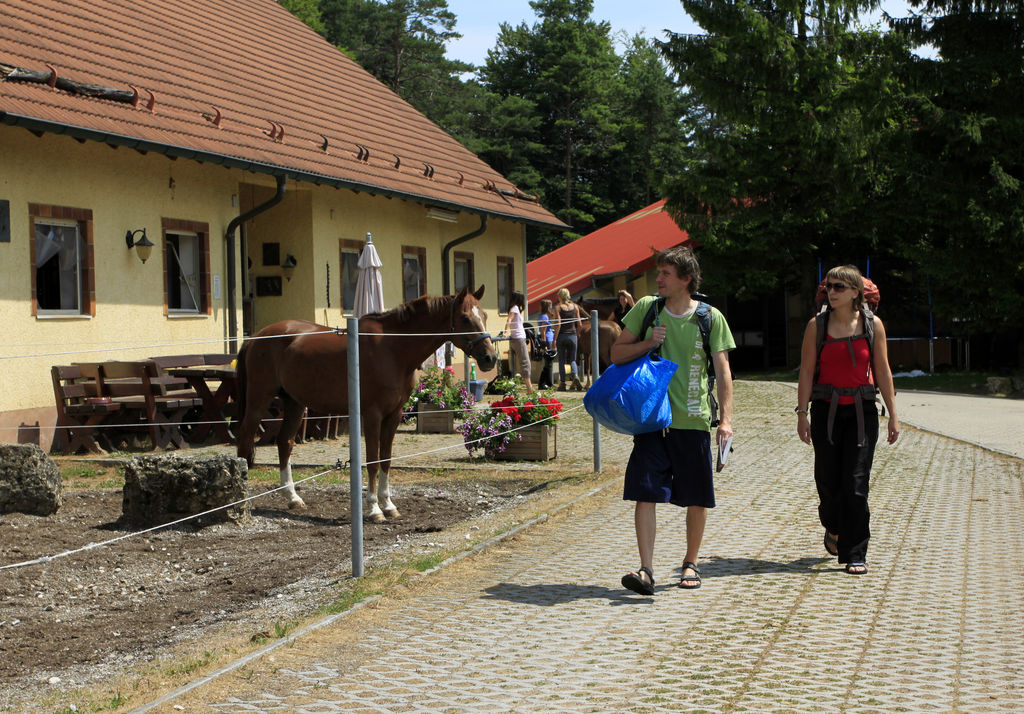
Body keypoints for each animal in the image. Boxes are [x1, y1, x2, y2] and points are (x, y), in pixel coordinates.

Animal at [236, 280, 499, 520]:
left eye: (485, 315)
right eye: (465, 318)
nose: (490, 358)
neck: (393, 349)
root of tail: (256, 337)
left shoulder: (394, 414)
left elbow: (386, 459)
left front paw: (389, 505)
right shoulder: (372, 415)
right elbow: (372, 461)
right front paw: (374, 509)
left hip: (295, 403)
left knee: (285, 443)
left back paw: (293, 498)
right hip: (259, 400)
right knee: (245, 441)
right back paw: (243, 502)